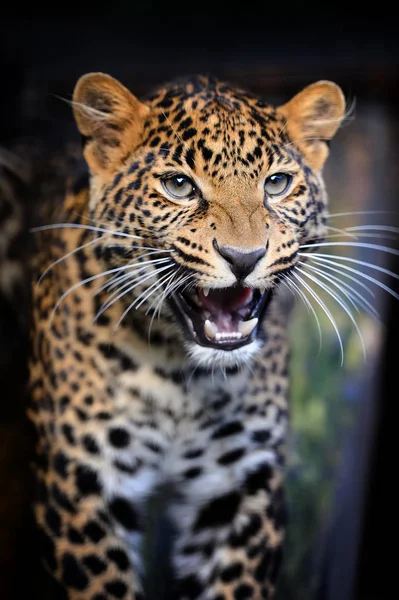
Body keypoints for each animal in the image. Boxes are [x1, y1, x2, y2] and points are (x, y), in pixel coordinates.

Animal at [23, 72, 346, 596]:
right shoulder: (81, 481)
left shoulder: (241, 482)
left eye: (276, 184)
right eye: (179, 186)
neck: (181, 378)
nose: (243, 257)